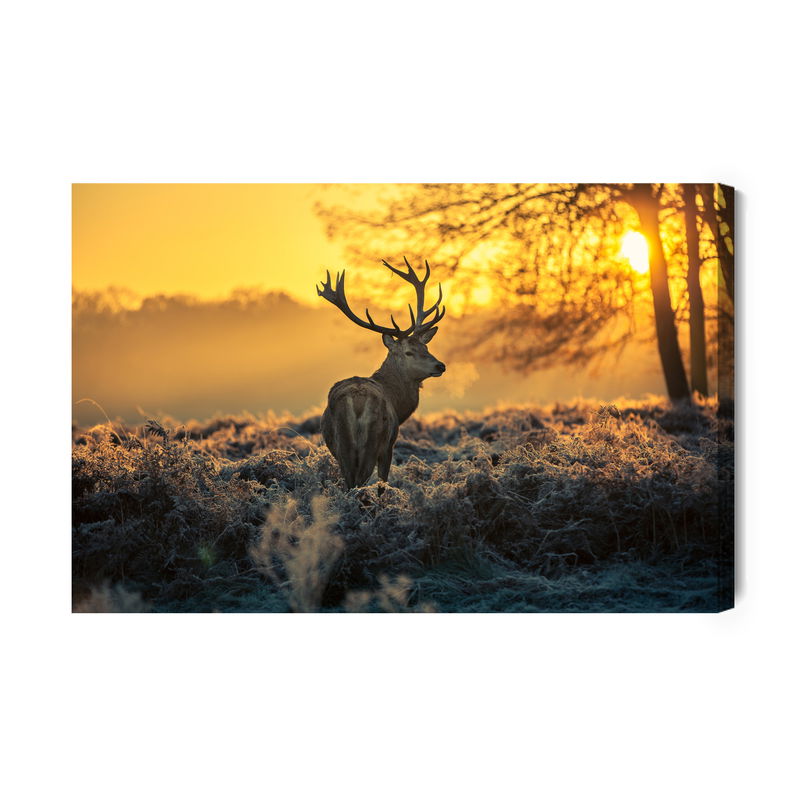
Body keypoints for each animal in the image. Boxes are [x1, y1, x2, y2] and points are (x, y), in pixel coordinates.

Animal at [317, 257, 446, 490]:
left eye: (426, 347)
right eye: (409, 352)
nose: (440, 366)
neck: (398, 403)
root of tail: (357, 402)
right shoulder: (389, 445)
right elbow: (382, 482)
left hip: (342, 447)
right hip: (373, 441)